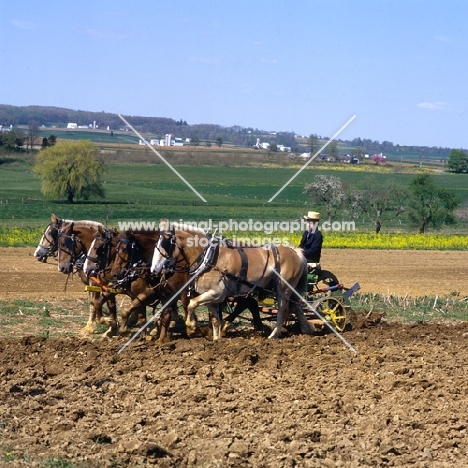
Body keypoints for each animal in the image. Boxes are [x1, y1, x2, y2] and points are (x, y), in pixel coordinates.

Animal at [151, 224, 314, 338]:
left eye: (164, 244)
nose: (153, 269)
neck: (208, 257)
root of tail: (296, 252)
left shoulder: (217, 293)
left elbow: (192, 304)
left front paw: (191, 328)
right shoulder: (210, 296)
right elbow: (214, 318)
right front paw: (217, 338)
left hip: (283, 289)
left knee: (283, 311)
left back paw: (273, 335)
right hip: (288, 290)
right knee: (296, 307)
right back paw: (308, 329)